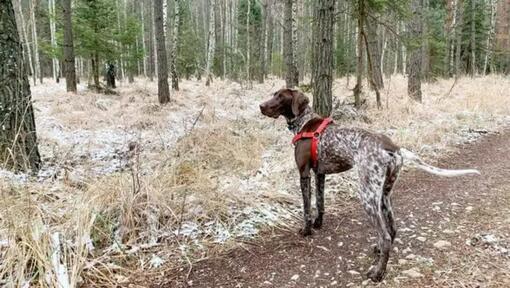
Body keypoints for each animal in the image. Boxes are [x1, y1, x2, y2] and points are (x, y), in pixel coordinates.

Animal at [260, 88, 480, 282]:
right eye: (274, 94)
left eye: (280, 96)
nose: (261, 106)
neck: (305, 121)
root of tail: (394, 148)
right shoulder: (320, 174)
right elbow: (320, 203)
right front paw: (318, 224)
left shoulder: (304, 173)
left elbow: (306, 208)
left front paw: (306, 230)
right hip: (383, 194)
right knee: (392, 229)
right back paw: (378, 252)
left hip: (367, 196)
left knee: (386, 236)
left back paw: (377, 273)